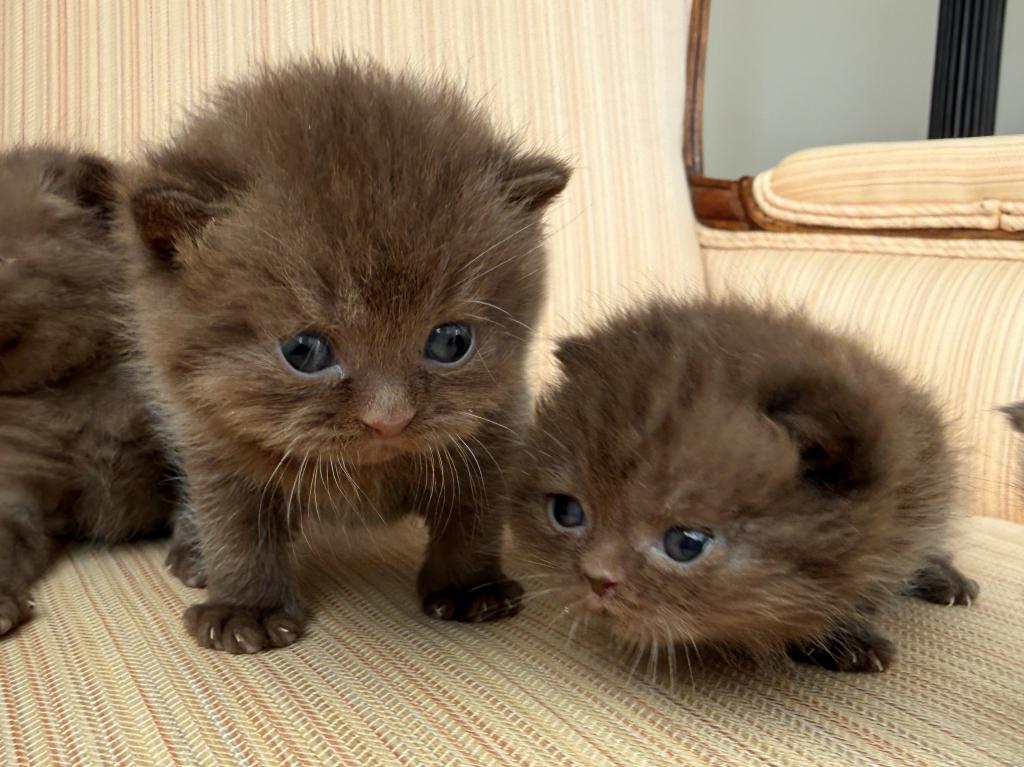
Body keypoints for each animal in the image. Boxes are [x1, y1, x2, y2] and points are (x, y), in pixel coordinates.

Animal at [116, 59, 570, 653]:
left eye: (451, 341)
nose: (389, 418)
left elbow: (473, 515)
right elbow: (235, 530)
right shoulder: (211, 440)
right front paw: (247, 607)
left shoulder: (493, 426)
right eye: (304, 351)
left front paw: (471, 587)